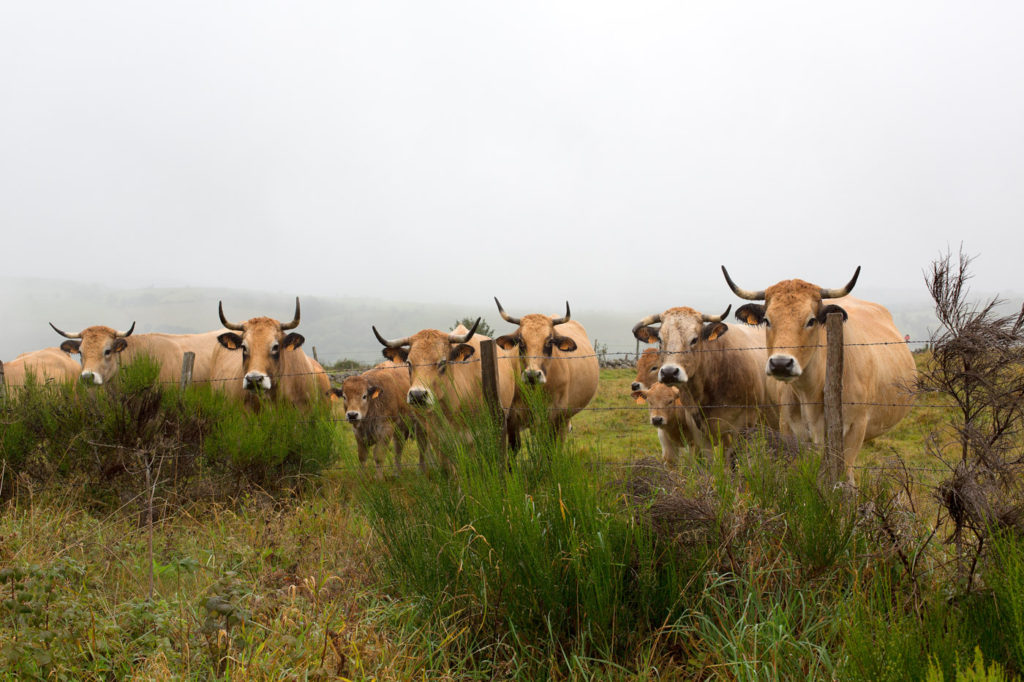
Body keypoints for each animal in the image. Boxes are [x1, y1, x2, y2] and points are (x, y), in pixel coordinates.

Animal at [724, 262, 917, 481]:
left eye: (811, 320)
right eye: (767, 320)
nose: (781, 363)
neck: (810, 392)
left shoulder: (854, 430)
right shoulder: (789, 429)